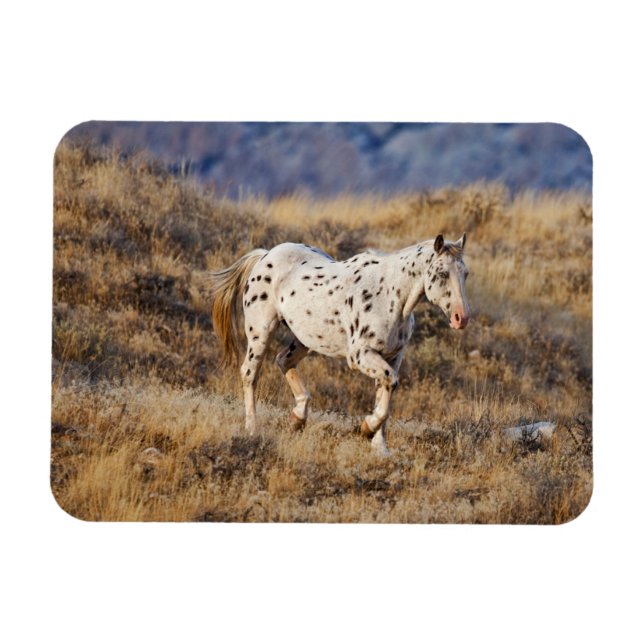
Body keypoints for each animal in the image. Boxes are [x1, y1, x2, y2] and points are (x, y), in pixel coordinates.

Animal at [211, 233, 470, 455]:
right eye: (442, 273)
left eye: (465, 273)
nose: (462, 318)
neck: (390, 295)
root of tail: (265, 255)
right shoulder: (360, 355)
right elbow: (388, 387)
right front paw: (366, 428)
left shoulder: (393, 357)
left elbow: (385, 393)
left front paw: (380, 448)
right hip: (260, 332)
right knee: (249, 374)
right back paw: (252, 428)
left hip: (304, 338)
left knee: (284, 360)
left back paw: (297, 418)